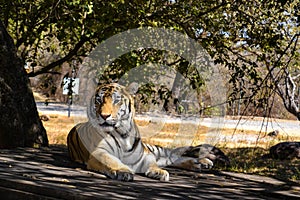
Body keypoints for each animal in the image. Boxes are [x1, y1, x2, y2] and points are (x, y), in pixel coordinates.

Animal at [67, 83, 214, 181]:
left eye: (116, 100)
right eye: (98, 100)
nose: (104, 116)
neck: (122, 134)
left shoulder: (145, 154)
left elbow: (152, 163)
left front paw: (158, 172)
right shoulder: (99, 152)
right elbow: (111, 161)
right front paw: (123, 171)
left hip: (155, 150)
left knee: (172, 153)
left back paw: (203, 162)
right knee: (170, 159)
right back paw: (199, 164)